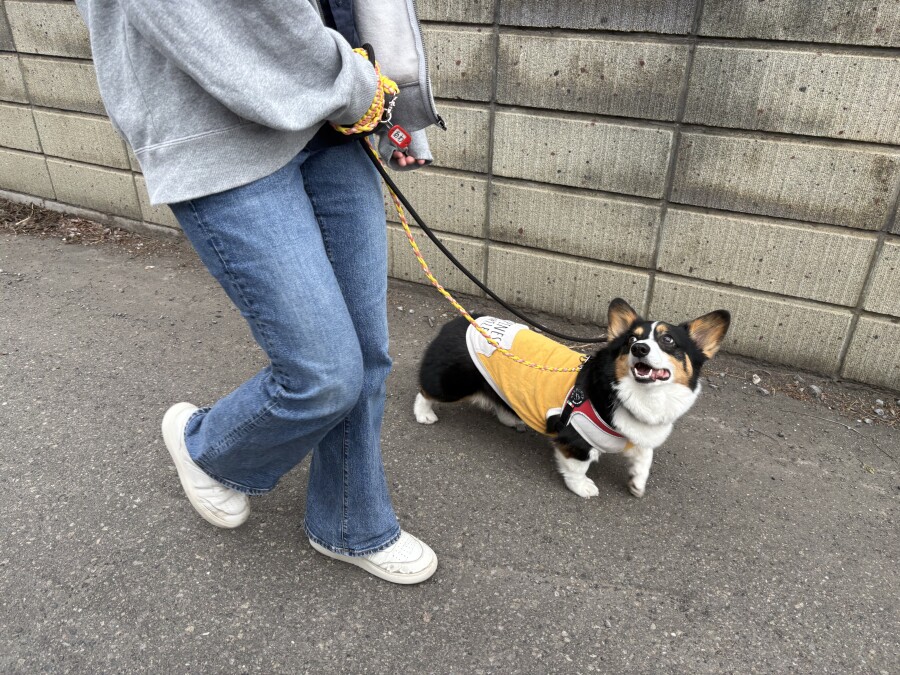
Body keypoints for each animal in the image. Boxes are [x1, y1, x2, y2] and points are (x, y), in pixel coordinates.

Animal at [414, 298, 730, 499]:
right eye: (630, 340)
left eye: (668, 340)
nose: (639, 348)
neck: (637, 396)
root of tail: (461, 319)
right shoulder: (575, 438)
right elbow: (578, 466)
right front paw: (583, 487)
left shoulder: (637, 437)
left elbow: (645, 457)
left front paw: (637, 483)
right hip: (451, 384)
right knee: (425, 391)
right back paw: (424, 414)